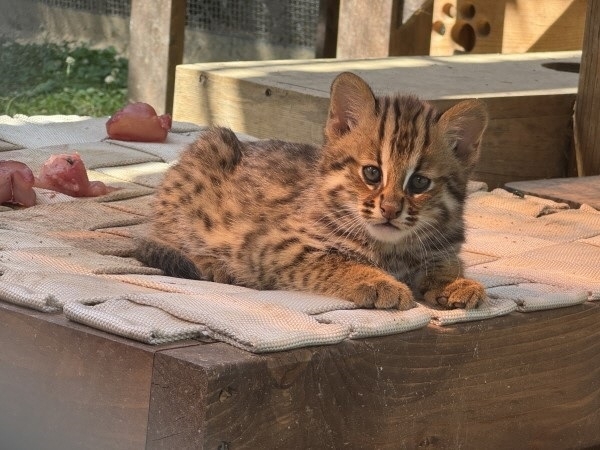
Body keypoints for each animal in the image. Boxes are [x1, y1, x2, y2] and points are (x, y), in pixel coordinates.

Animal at [138, 71, 490, 310]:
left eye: (419, 182)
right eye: (372, 173)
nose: (390, 210)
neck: (391, 248)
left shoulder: (442, 247)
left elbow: (448, 261)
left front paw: (455, 282)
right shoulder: (275, 247)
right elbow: (336, 261)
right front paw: (377, 281)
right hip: (213, 146)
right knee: (158, 236)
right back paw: (211, 263)